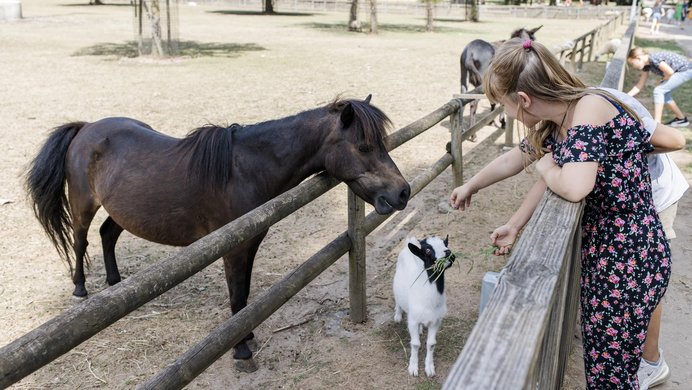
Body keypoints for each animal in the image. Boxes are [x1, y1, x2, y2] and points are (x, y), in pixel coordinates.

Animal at [25, 95, 410, 368]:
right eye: (364, 147)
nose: (402, 192)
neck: (245, 169)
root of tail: (86, 127)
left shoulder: (249, 244)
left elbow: (244, 297)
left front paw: (247, 335)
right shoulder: (233, 249)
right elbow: (237, 297)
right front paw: (241, 351)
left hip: (122, 209)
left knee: (107, 234)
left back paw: (116, 283)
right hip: (83, 205)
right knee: (80, 240)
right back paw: (80, 289)